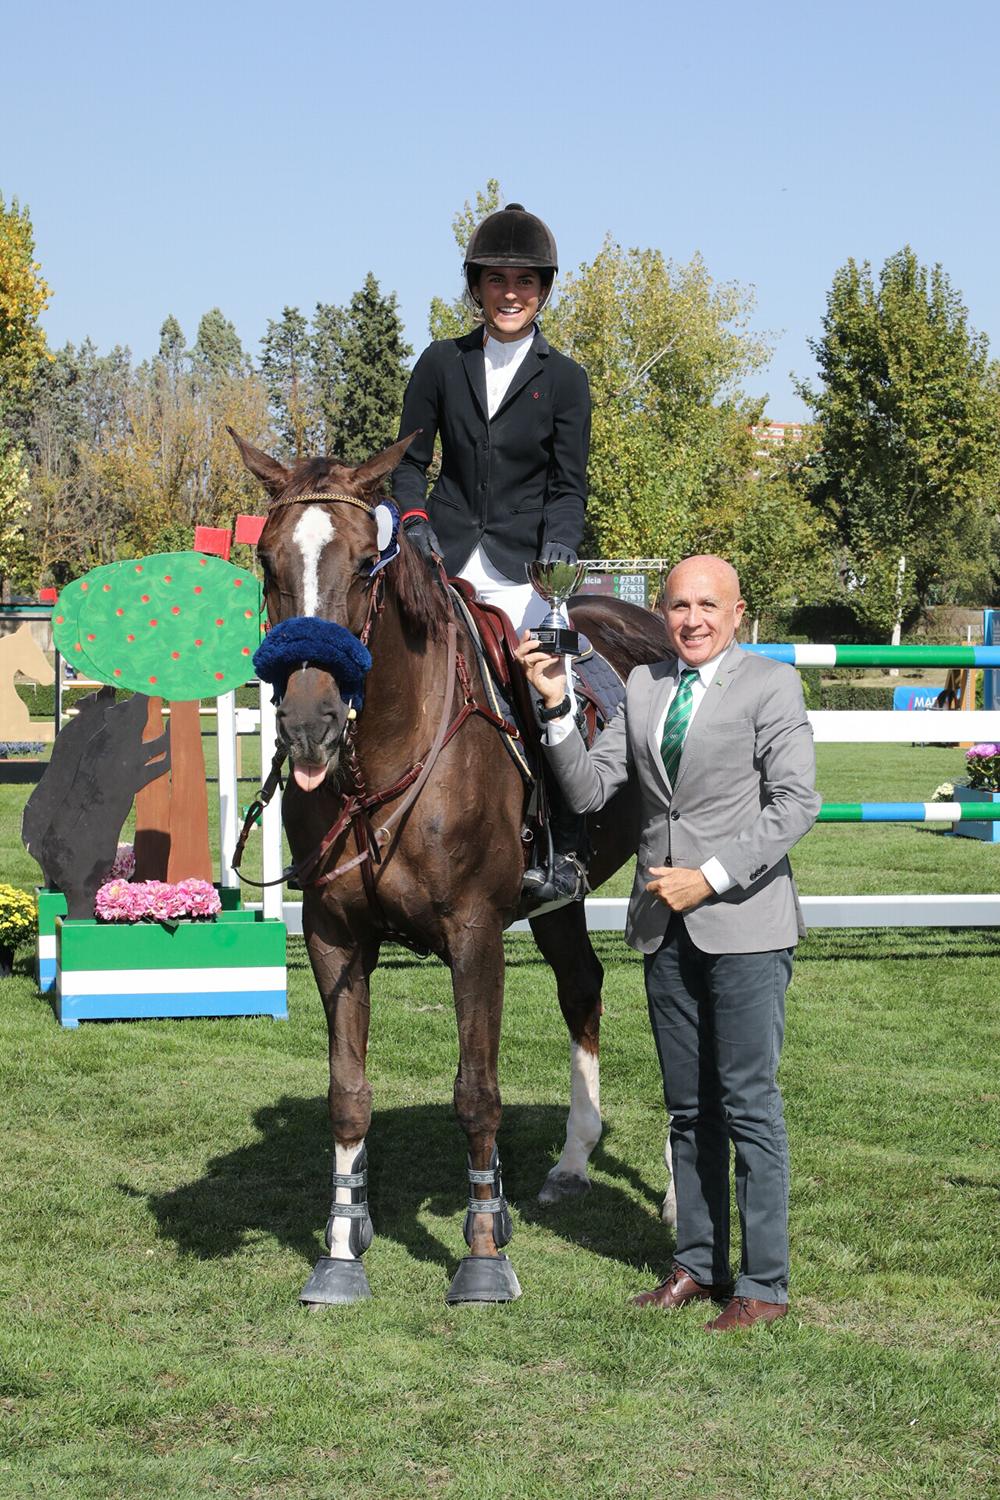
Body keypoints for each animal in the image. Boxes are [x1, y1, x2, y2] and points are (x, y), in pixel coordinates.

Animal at [232, 432, 671, 1302]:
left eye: (365, 565)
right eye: (266, 561)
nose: (308, 724)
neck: (380, 755)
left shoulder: (474, 933)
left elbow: (476, 1094)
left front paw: (483, 1253)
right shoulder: (335, 937)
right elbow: (348, 1096)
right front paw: (342, 1249)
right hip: (559, 903)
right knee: (583, 987)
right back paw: (573, 1159)